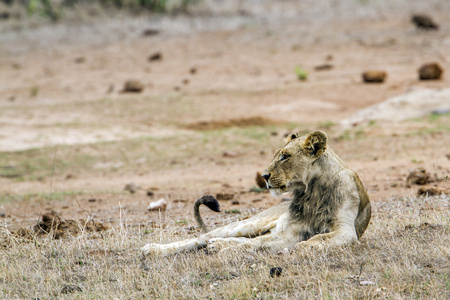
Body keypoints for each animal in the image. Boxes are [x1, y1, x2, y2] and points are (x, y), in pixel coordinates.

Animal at [142, 130, 370, 256]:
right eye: (277, 155)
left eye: (285, 156)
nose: (265, 175)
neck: (310, 191)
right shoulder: (290, 232)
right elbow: (258, 243)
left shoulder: (344, 230)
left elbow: (318, 239)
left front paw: (307, 246)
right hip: (249, 223)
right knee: (202, 238)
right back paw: (153, 249)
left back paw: (218, 245)